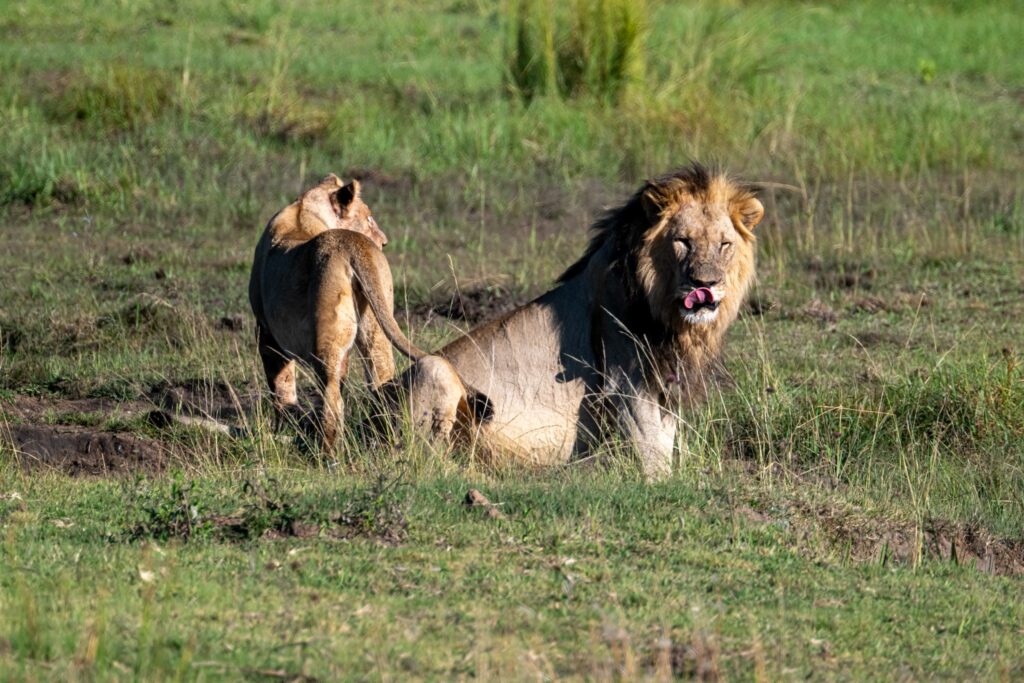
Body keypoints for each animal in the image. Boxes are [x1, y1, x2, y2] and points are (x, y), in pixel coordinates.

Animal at [249, 174, 425, 448]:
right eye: (369, 218)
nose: (384, 241)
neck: (304, 209)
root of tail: (351, 244)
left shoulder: (266, 330)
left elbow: (280, 382)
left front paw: (283, 426)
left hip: (329, 332)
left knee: (332, 392)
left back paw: (327, 449)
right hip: (375, 323)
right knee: (382, 378)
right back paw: (381, 439)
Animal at [395, 162, 765, 479]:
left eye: (724, 244)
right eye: (683, 241)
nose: (706, 284)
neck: (671, 317)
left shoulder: (668, 381)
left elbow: (665, 438)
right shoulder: (625, 380)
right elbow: (651, 447)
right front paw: (662, 484)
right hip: (433, 369)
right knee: (424, 459)